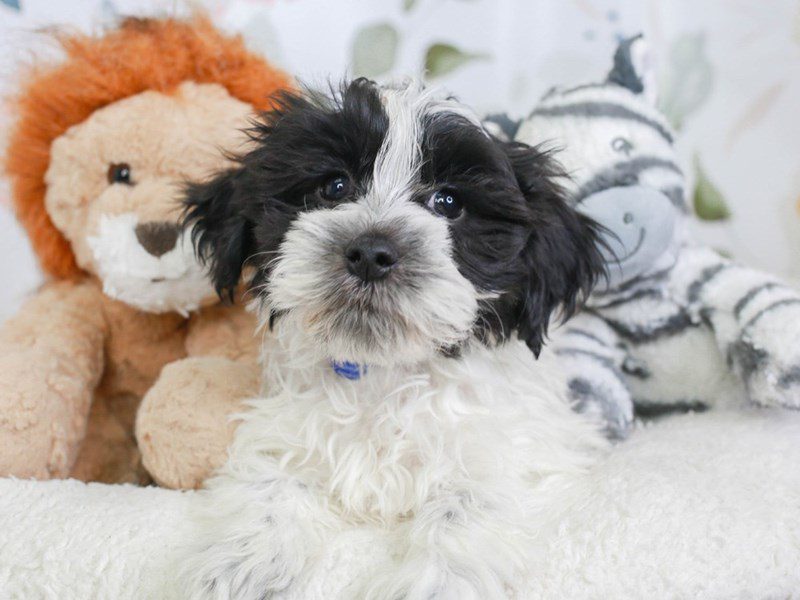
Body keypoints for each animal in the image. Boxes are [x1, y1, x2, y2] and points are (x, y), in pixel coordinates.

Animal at [180, 79, 608, 600]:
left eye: (449, 203)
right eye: (334, 187)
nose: (370, 252)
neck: (385, 375)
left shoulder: (518, 454)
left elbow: (466, 507)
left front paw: (438, 584)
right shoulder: (283, 432)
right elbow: (269, 483)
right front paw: (242, 563)